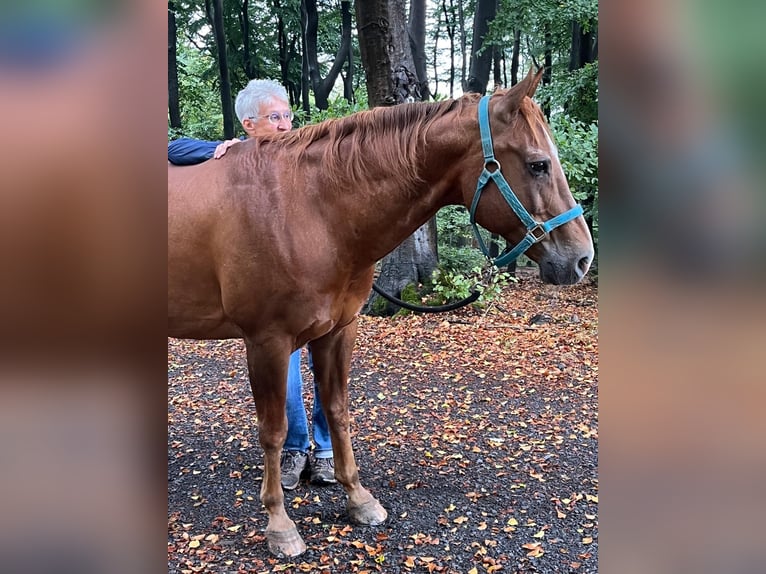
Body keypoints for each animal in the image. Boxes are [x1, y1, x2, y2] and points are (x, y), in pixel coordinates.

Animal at [168, 67, 594, 557]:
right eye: (538, 164)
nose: (582, 259)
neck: (307, 208)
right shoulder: (267, 342)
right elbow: (273, 431)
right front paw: (279, 523)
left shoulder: (337, 331)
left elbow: (337, 412)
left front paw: (357, 498)